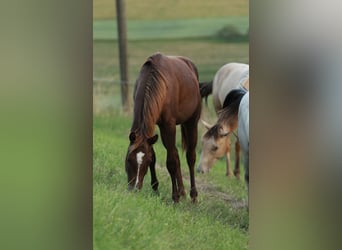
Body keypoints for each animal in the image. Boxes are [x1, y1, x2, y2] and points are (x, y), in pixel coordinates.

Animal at [125, 53, 200, 203]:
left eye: (145, 162)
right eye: (129, 159)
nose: (134, 189)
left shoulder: (168, 125)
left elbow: (171, 162)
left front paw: (175, 197)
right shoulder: (153, 128)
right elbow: (158, 155)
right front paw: (155, 187)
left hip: (191, 123)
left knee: (190, 157)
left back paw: (193, 195)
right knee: (176, 154)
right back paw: (182, 191)